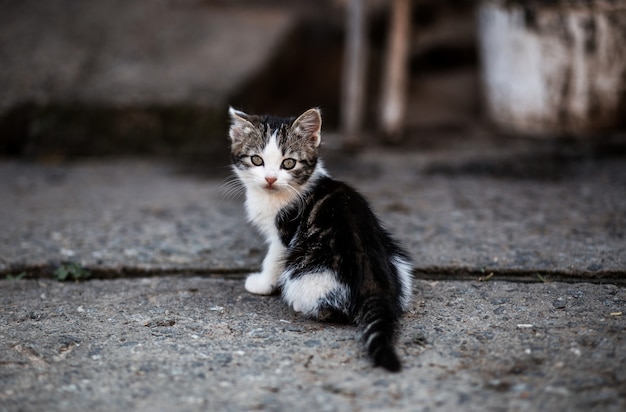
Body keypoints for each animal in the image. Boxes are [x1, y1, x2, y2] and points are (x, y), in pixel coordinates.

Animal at [227, 108, 412, 372]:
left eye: (289, 163)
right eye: (256, 160)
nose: (270, 179)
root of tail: (374, 286)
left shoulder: (284, 234)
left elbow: (272, 259)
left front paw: (261, 284)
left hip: (308, 270)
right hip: (397, 259)